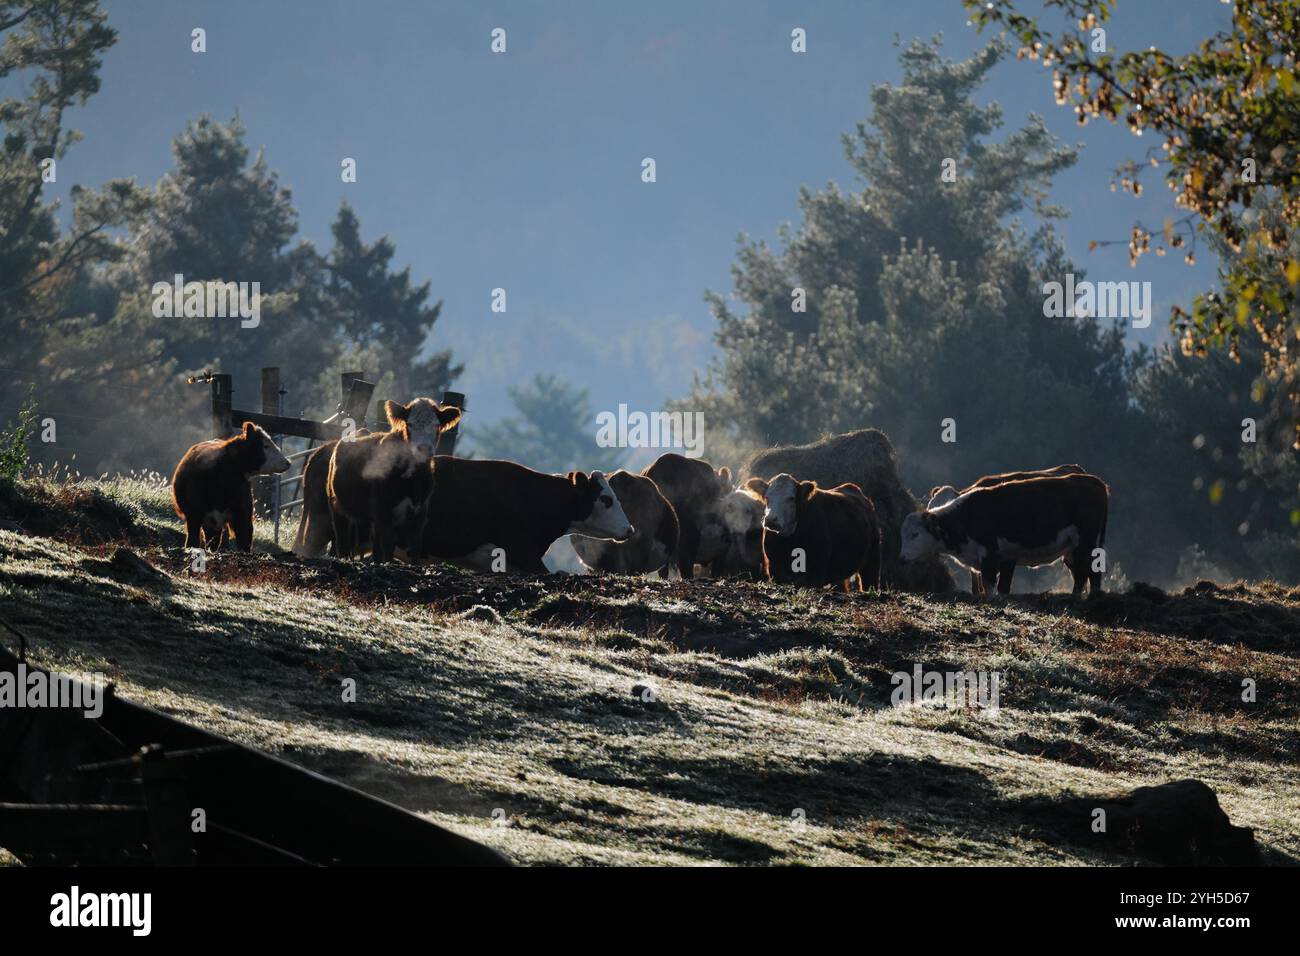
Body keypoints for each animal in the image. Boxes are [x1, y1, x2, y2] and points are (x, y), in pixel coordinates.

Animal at [171, 421, 291, 552]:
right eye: (266, 445)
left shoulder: (243, 514)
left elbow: (245, 540)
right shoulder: (194, 515)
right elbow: (192, 541)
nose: (288, 462)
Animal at [327, 399, 460, 562]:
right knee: (342, 540)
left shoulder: (420, 510)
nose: (424, 448)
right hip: (337, 506)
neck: (412, 479)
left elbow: (415, 546)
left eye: (437, 425)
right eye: (410, 424)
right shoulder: (383, 507)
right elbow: (389, 543)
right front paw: (388, 564)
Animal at [746, 474, 882, 591]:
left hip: (872, 560)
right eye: (767, 497)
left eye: (791, 498)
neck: (790, 541)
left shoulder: (816, 572)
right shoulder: (775, 568)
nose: (771, 520)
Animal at [900, 473, 1109, 598]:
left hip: (1086, 542)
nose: (902, 557)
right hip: (1077, 548)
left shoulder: (989, 555)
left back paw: (1076, 597)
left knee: (1084, 573)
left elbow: (990, 586)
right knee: (1089, 573)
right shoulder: (1002, 558)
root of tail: (1092, 480)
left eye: (915, 534)